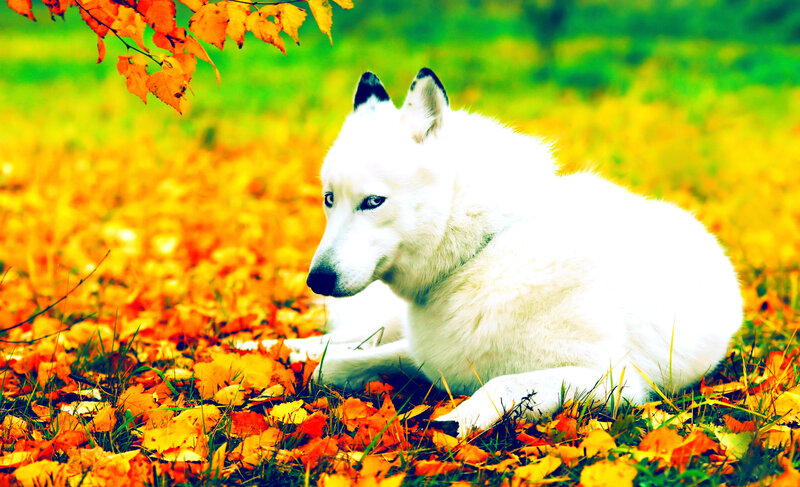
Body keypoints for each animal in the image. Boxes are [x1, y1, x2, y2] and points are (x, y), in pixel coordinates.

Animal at [283, 68, 743, 437]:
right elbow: (329, 367)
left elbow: (504, 382)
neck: (482, 250)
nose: (317, 279)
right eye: (329, 200)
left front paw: (457, 419)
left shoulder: (614, 379)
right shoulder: (424, 355)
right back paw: (281, 347)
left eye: (373, 202)